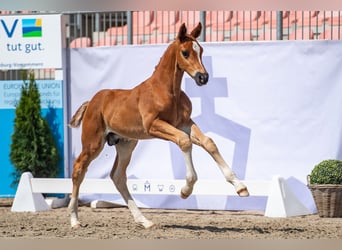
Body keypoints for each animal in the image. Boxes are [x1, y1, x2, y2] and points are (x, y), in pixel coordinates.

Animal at [68, 22, 248, 229]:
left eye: (201, 51)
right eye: (185, 52)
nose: (203, 77)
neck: (167, 91)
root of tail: (91, 102)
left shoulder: (185, 123)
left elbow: (208, 142)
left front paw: (240, 187)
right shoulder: (154, 125)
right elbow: (184, 141)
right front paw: (186, 190)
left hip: (126, 144)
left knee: (118, 176)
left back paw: (143, 220)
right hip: (93, 143)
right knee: (79, 168)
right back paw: (74, 220)